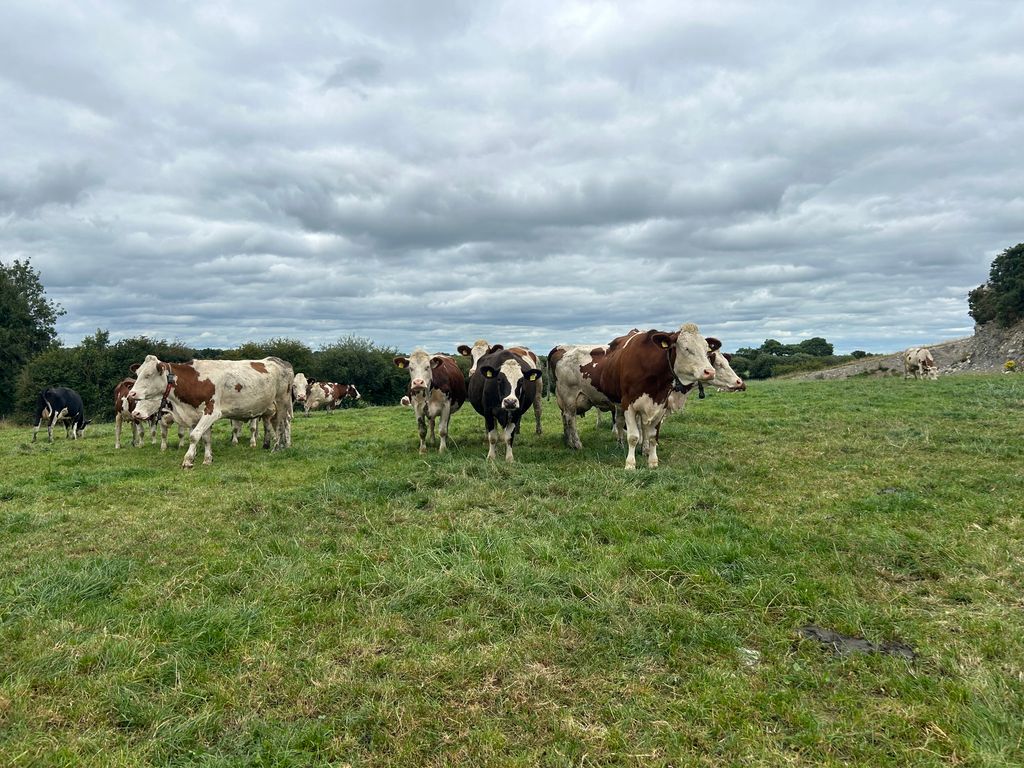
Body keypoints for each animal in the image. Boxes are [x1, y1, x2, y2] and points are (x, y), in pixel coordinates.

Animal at [128, 355, 294, 469]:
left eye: (148, 375)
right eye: (137, 374)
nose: (132, 393)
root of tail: (279, 361)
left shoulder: (211, 412)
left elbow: (194, 436)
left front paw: (188, 460)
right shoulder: (198, 414)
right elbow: (206, 438)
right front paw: (207, 459)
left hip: (282, 402)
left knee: (281, 424)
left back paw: (277, 447)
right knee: (276, 424)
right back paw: (280, 445)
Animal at [590, 324, 715, 470]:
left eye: (706, 349)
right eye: (686, 348)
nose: (710, 372)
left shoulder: (661, 404)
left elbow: (652, 436)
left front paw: (652, 461)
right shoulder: (628, 404)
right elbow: (633, 437)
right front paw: (630, 464)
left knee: (643, 427)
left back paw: (645, 449)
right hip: (619, 403)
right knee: (620, 422)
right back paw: (620, 444)